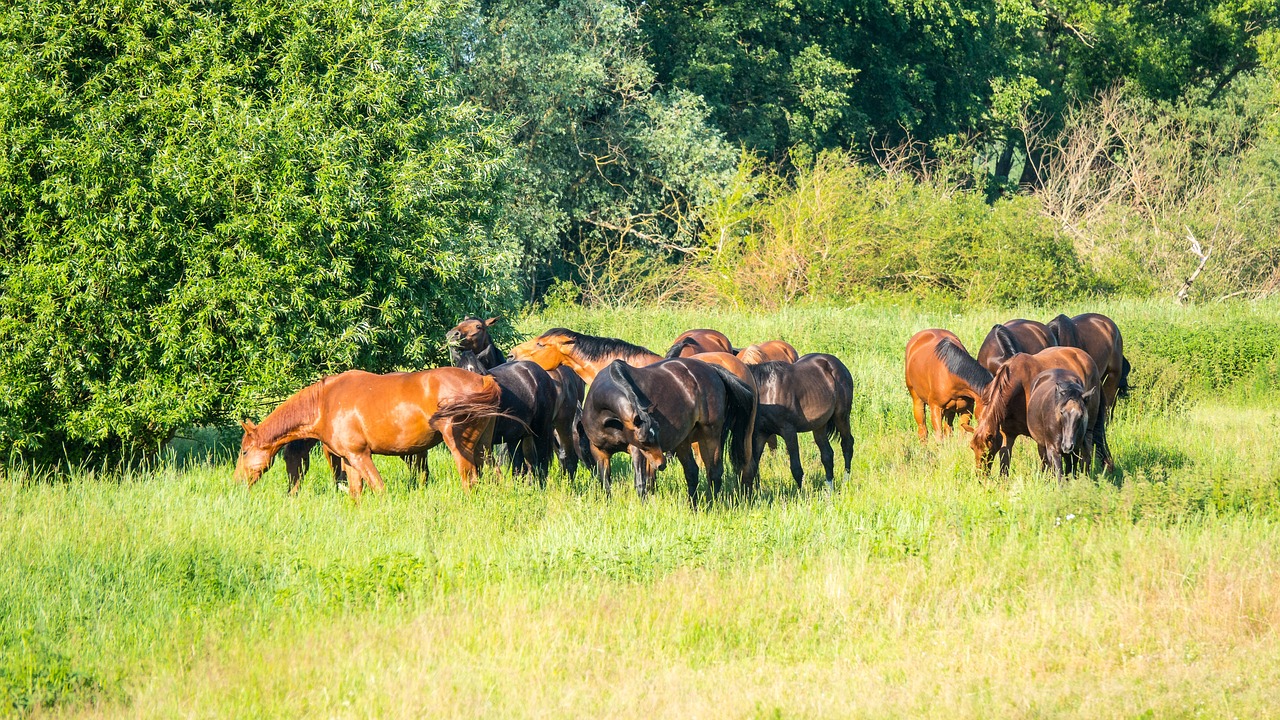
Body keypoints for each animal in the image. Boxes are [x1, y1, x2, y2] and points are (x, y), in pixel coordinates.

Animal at [233, 368, 504, 497]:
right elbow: (356, 493)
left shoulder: (361, 455)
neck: (323, 403)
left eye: (244, 452)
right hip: (483, 448)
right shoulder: (349, 460)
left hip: (460, 447)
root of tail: (483, 380)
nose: (236, 482)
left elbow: (379, 489)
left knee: (469, 479)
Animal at [579, 358, 754, 505]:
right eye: (644, 439)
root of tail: (712, 370)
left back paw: (713, 505)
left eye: (657, 431)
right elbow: (605, 483)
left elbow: (641, 483)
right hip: (683, 441)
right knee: (692, 472)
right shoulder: (600, 452)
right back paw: (692, 506)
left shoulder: (636, 450)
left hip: (710, 436)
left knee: (714, 472)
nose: (661, 464)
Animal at [747, 354, 854, 493]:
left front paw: (802, 495)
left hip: (841, 417)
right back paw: (829, 490)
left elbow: (796, 468)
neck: (766, 391)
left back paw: (846, 482)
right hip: (819, 425)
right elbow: (753, 467)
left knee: (847, 445)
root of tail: (838, 365)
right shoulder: (761, 433)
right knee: (827, 455)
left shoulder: (789, 431)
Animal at [970, 346, 1107, 476]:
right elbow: (1004, 465)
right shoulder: (1007, 434)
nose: (980, 477)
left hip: (1087, 430)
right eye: (972, 448)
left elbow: (1046, 465)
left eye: (987, 451)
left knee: (1086, 456)